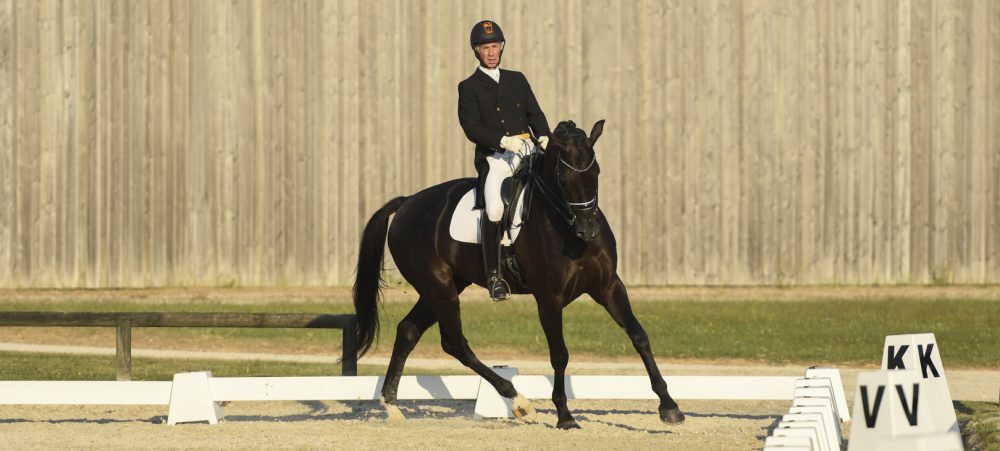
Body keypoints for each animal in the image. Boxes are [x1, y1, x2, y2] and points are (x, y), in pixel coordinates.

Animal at [352, 118, 688, 430]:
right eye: (562, 177)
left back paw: (393, 407)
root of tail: (406, 203)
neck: (568, 230)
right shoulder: (549, 299)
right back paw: (519, 402)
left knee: (408, 331)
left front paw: (669, 407)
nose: (588, 230)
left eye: (596, 172)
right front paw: (565, 417)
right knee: (455, 343)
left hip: (445, 286)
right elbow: (559, 354)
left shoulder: (608, 286)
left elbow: (639, 335)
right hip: (439, 288)